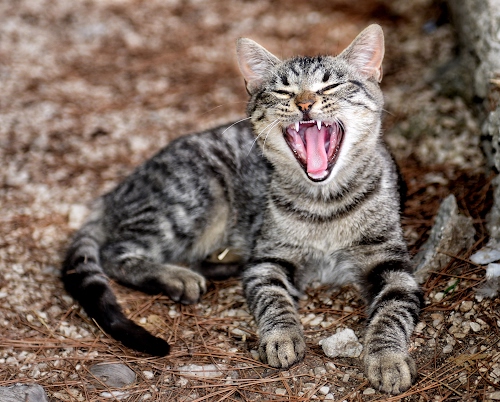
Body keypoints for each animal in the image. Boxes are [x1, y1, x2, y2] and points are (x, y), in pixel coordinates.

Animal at [62, 24, 422, 395]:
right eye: (283, 90)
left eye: (330, 86)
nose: (305, 103)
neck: (325, 202)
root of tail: (118, 189)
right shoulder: (269, 258)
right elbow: (273, 297)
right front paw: (282, 337)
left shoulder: (392, 263)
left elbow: (392, 311)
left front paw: (387, 359)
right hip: (192, 200)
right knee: (115, 252)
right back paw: (177, 276)